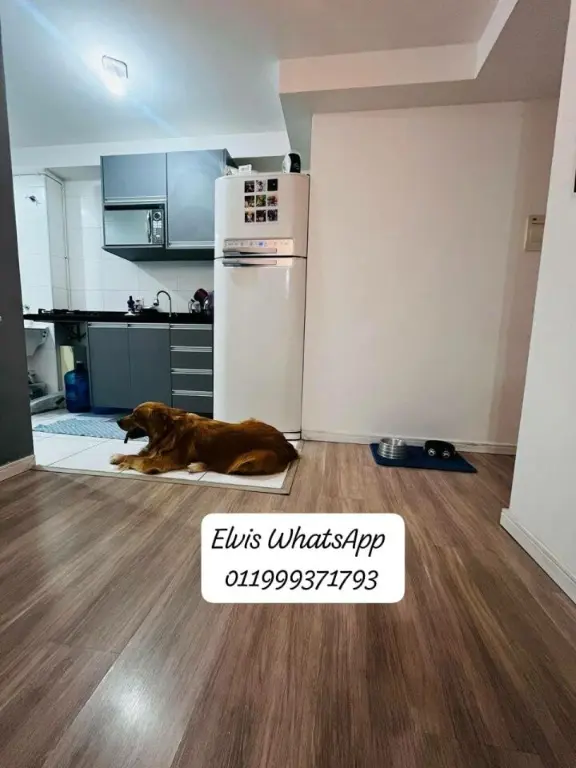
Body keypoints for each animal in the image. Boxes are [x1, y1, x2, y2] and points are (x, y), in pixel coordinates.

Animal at [111, 402, 299, 476]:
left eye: (135, 416)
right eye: (132, 413)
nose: (117, 421)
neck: (168, 430)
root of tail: (286, 443)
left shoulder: (159, 462)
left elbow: (137, 459)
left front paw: (123, 462)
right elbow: (136, 454)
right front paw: (118, 456)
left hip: (247, 460)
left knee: (224, 467)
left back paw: (197, 465)